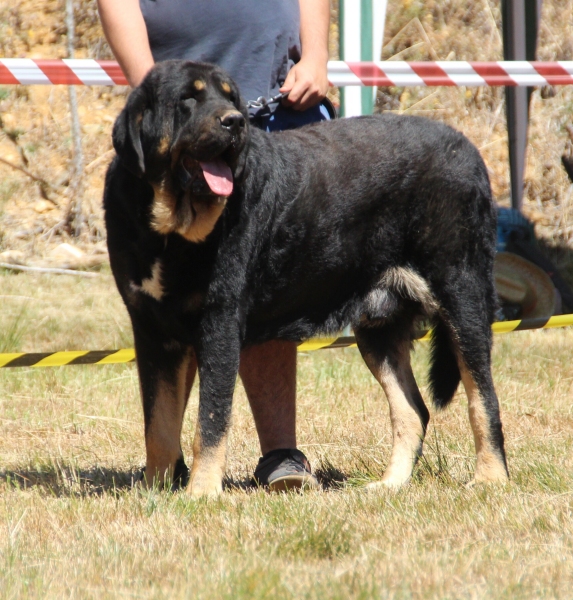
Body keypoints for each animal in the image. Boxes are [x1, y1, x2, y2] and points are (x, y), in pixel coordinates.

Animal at [105, 59, 508, 496]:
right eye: (188, 99)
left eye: (230, 98)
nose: (235, 122)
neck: (169, 232)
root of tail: (469, 150)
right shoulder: (152, 332)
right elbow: (159, 424)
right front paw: (157, 489)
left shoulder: (218, 325)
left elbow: (209, 421)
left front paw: (201, 493)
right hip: (379, 329)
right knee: (412, 410)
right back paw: (390, 485)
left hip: (462, 299)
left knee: (483, 399)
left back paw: (490, 478)